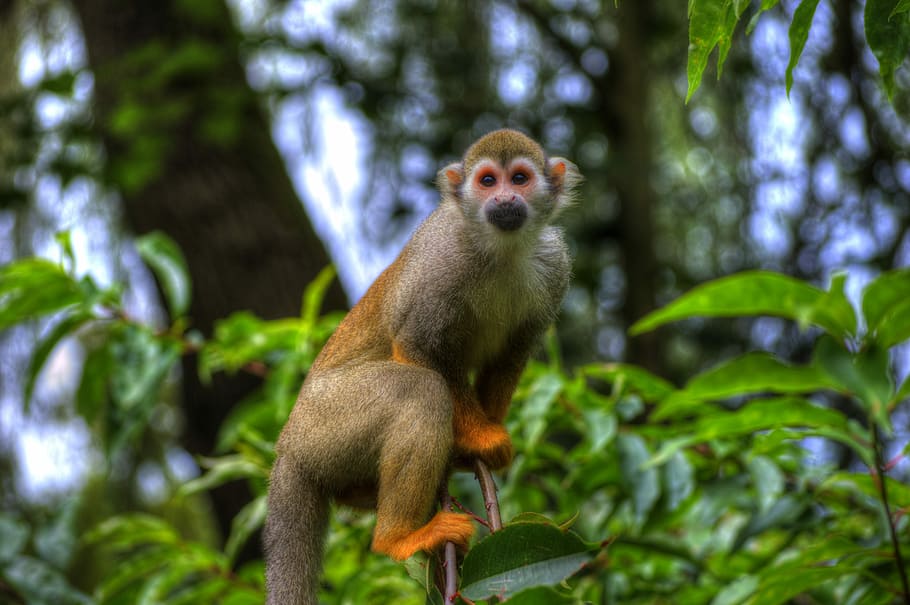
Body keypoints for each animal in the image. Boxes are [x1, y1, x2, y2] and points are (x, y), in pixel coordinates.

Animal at [264, 129, 581, 605]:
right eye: (488, 180)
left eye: (520, 178)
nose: (505, 198)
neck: (500, 249)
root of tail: (286, 447)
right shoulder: (441, 261)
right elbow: (416, 345)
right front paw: (479, 437)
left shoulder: (555, 265)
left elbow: (511, 356)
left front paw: (483, 442)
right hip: (325, 422)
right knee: (420, 390)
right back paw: (397, 538)